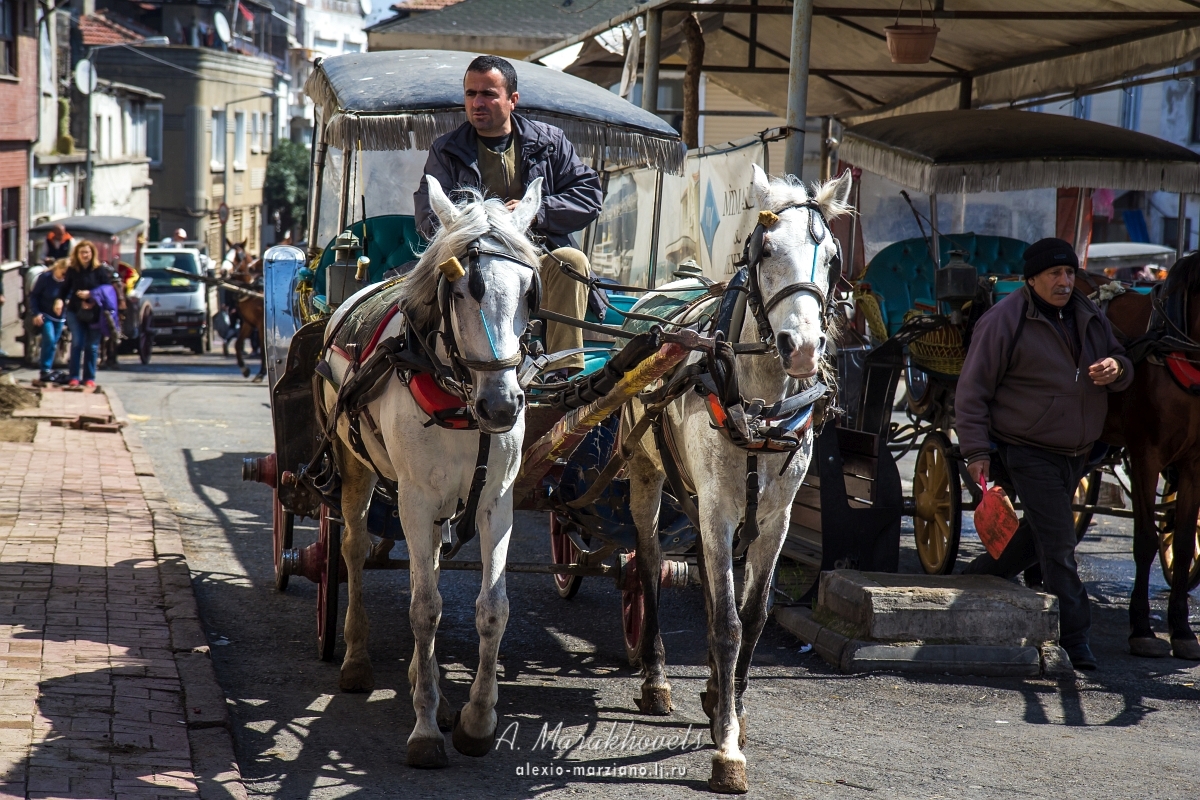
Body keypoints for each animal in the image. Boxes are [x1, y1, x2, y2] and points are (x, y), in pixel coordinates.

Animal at [321, 176, 542, 767]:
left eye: (529, 292)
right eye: (461, 290)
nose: (502, 405)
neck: (461, 398)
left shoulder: (496, 501)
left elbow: (492, 608)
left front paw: (477, 720)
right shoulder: (415, 499)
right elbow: (424, 609)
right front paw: (424, 729)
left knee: (434, 566)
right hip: (356, 466)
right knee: (353, 548)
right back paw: (355, 657)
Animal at [624, 165, 849, 791]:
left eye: (834, 259)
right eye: (765, 250)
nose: (802, 349)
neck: (762, 403)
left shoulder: (775, 519)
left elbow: (751, 616)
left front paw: (734, 711)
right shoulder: (719, 511)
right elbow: (726, 622)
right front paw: (726, 748)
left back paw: (709, 688)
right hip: (648, 476)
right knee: (649, 565)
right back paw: (657, 678)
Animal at [1094, 257, 1200, 662]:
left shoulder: (1194, 463)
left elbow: (1182, 544)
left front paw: (1182, 630)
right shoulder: (1145, 455)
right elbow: (1145, 541)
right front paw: (1141, 628)